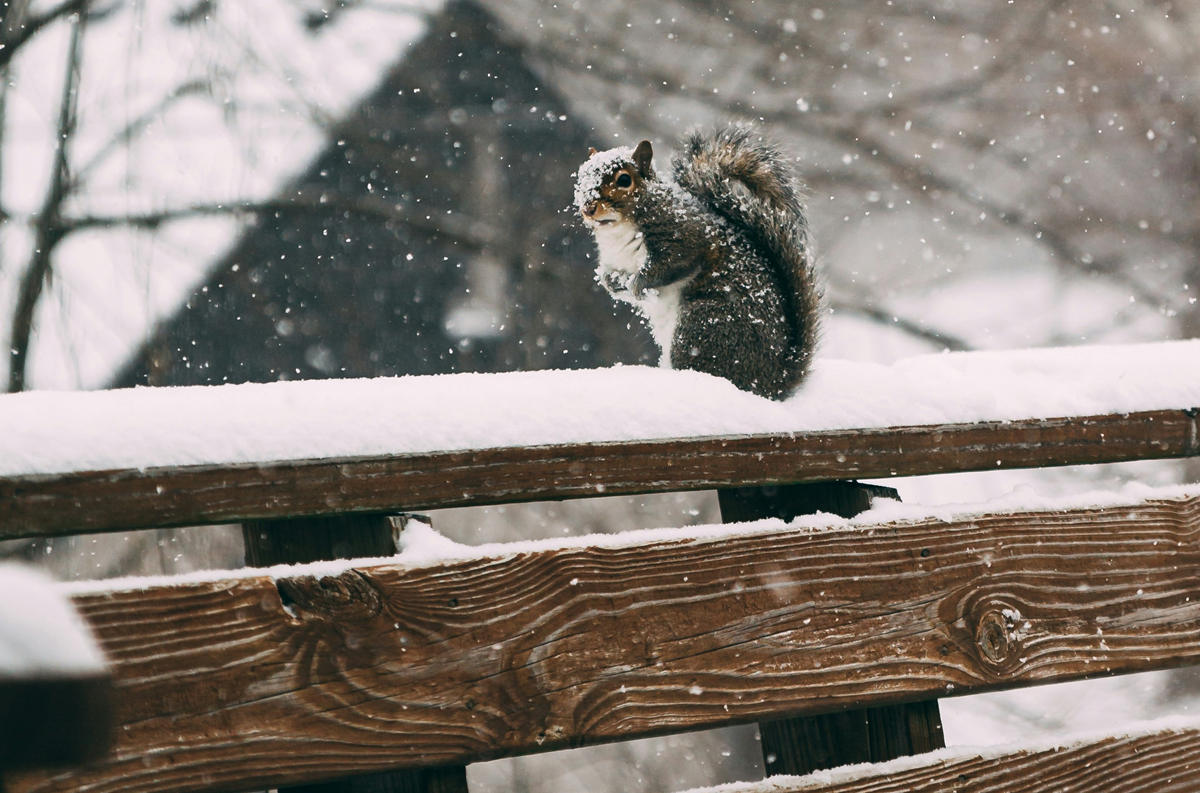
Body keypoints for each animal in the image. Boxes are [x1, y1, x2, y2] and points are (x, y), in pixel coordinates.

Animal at [574, 122, 820, 400]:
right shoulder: (614, 259)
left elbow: (674, 263)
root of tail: (774, 379)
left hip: (703, 325)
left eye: (624, 180)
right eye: (582, 176)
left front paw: (638, 283)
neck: (617, 228)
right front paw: (611, 283)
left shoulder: (685, 236)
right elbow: (610, 274)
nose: (588, 207)